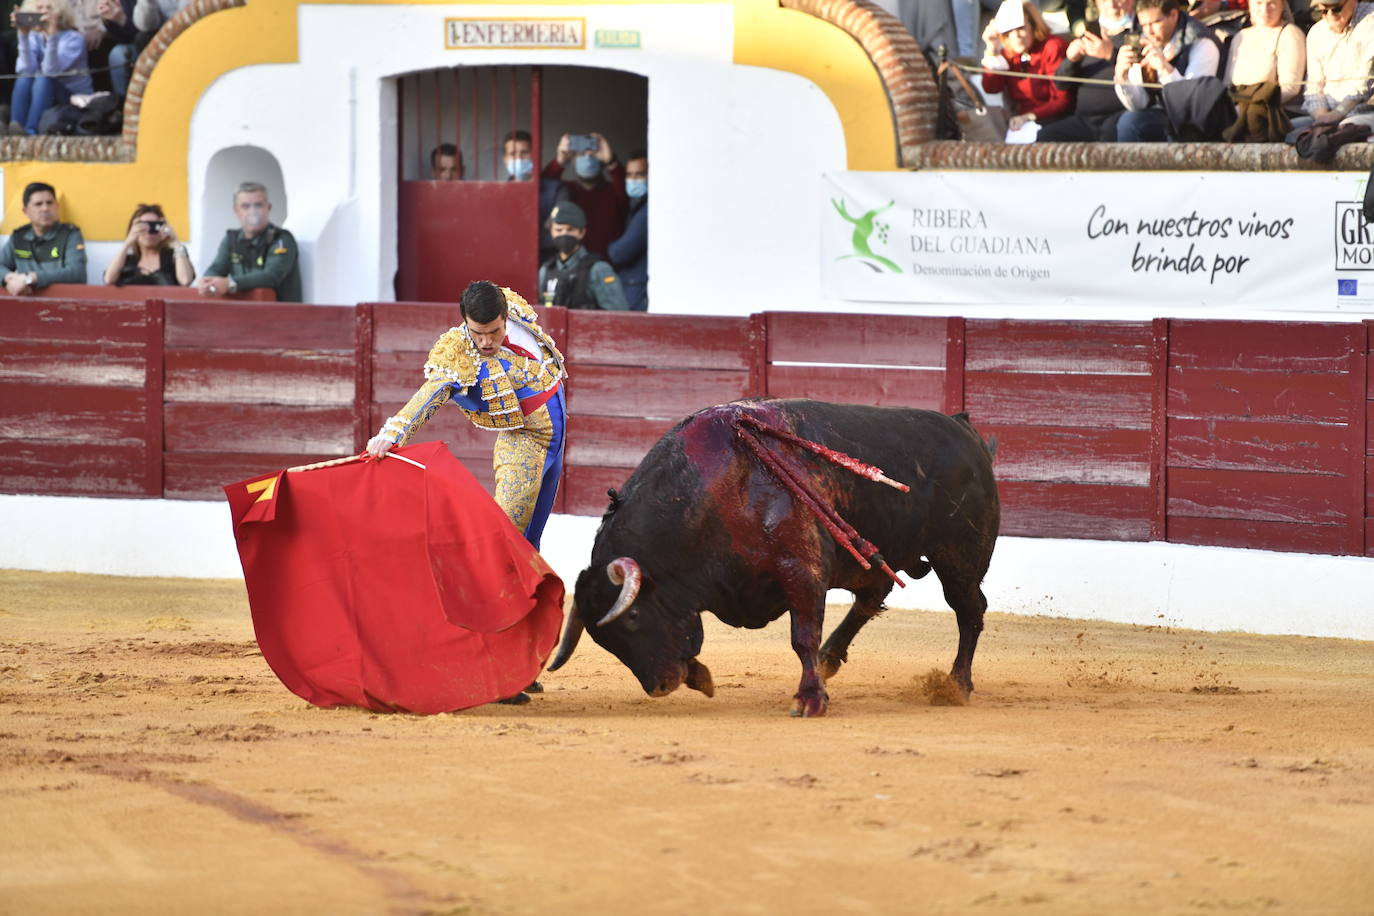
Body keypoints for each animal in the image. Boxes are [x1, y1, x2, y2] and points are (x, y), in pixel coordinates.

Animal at [546, 398, 1000, 719]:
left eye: (634, 618)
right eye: (604, 641)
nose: (659, 685)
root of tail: (966, 430)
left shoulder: (802, 572)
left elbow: (802, 637)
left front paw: (809, 700)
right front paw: (701, 676)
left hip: (959, 558)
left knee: (969, 610)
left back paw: (957, 685)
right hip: (875, 554)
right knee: (874, 594)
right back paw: (831, 657)